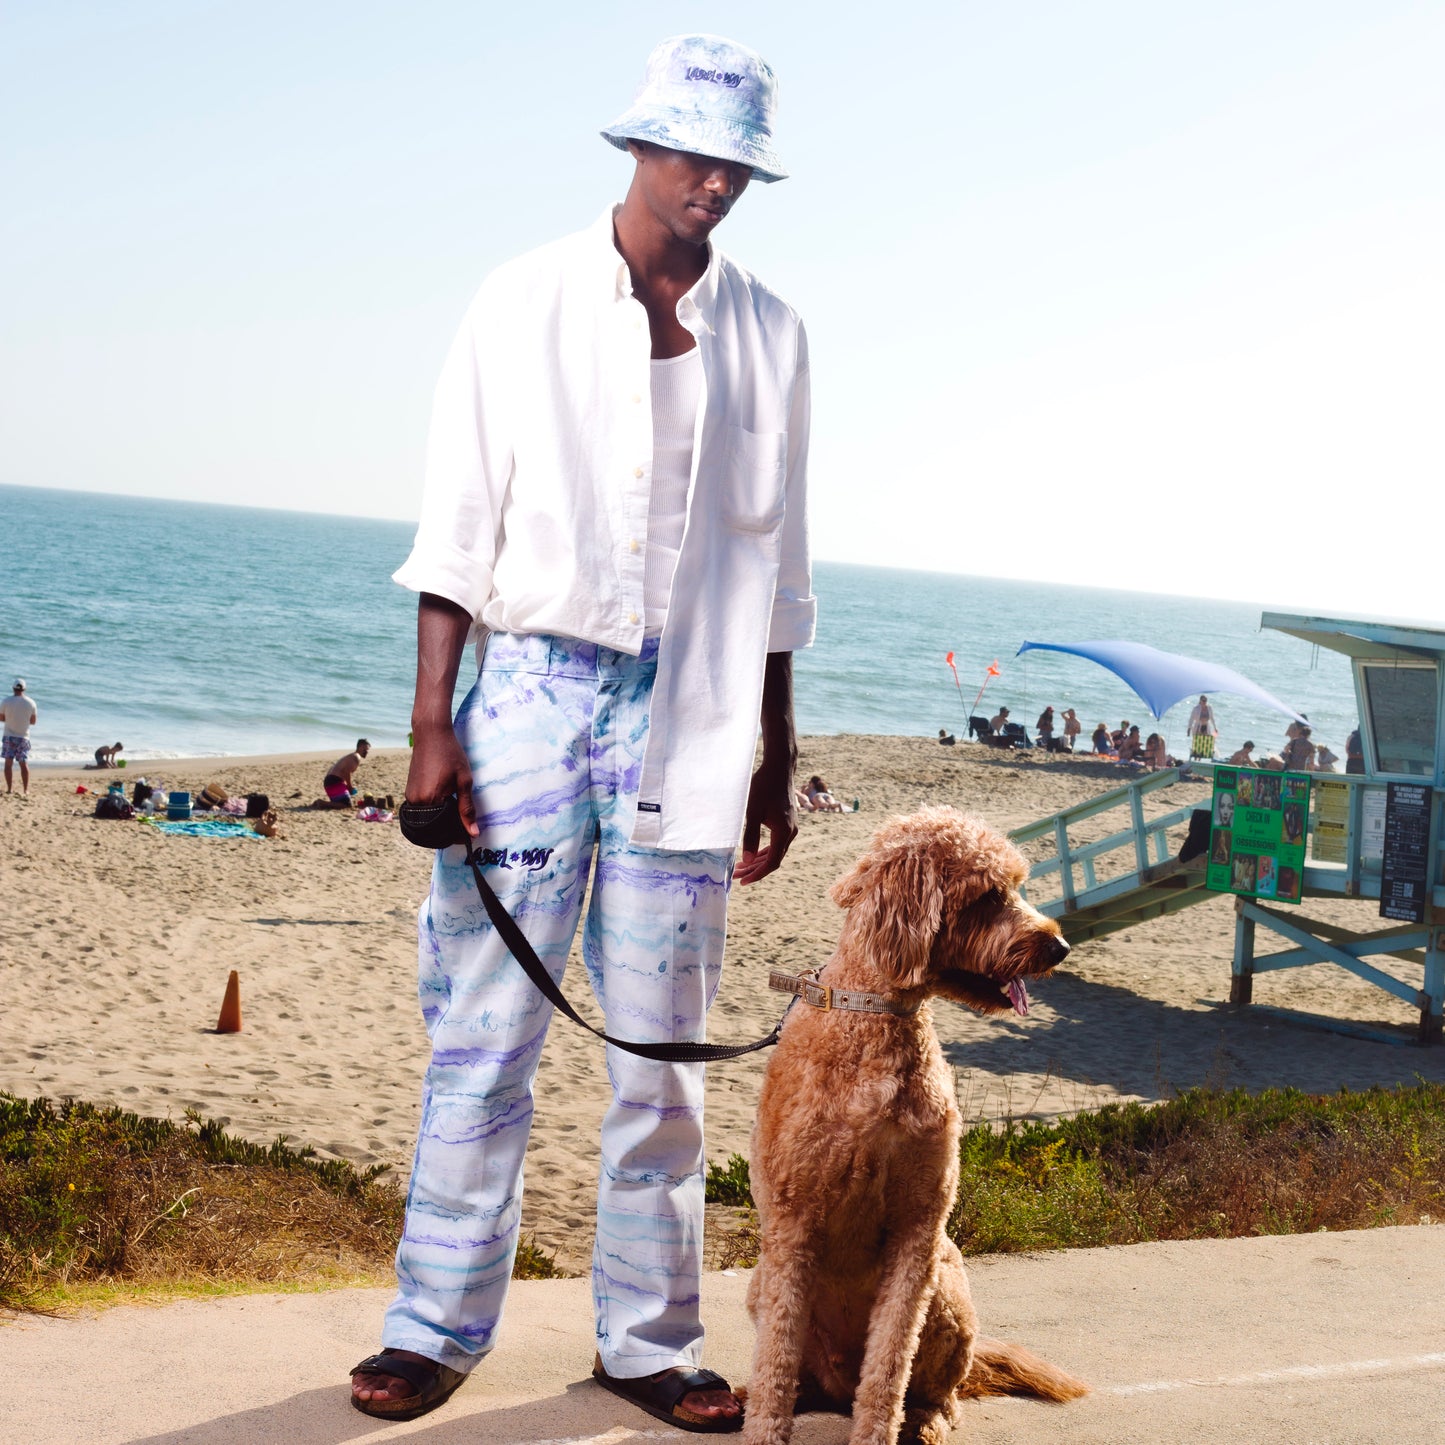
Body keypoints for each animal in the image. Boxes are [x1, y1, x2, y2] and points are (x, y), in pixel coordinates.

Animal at [745, 809, 1086, 1439]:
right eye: (989, 895)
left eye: (1015, 885)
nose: (1060, 946)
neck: (874, 1019)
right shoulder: (792, 1224)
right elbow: (775, 1358)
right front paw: (763, 1429)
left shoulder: (918, 1229)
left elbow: (889, 1366)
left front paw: (877, 1434)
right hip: (761, 1284)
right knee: (797, 1373)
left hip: (948, 1290)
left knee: (939, 1390)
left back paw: (926, 1422)